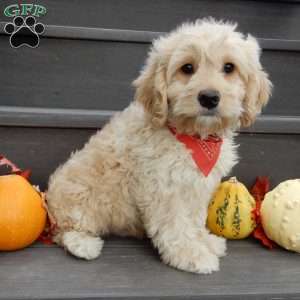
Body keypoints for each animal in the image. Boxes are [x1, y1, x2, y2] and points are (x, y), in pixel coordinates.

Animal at [46, 17, 272, 274]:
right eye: (187, 68)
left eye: (229, 67)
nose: (209, 97)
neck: (194, 137)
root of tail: (49, 201)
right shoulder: (164, 186)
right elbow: (175, 225)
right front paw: (191, 254)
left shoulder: (197, 186)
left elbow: (193, 218)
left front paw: (204, 240)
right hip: (79, 198)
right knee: (64, 231)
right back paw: (83, 244)